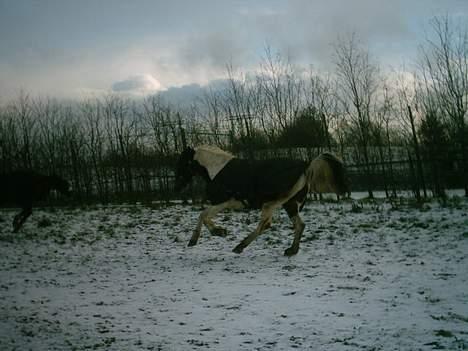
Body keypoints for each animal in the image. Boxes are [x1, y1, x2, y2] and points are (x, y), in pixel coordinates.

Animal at [175, 144, 348, 258]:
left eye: (183, 162)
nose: (178, 185)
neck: (216, 170)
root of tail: (306, 165)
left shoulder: (224, 202)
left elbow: (203, 215)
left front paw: (211, 234)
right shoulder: (227, 203)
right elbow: (204, 215)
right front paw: (217, 232)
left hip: (272, 203)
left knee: (265, 224)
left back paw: (239, 247)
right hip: (289, 204)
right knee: (299, 225)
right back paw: (291, 250)